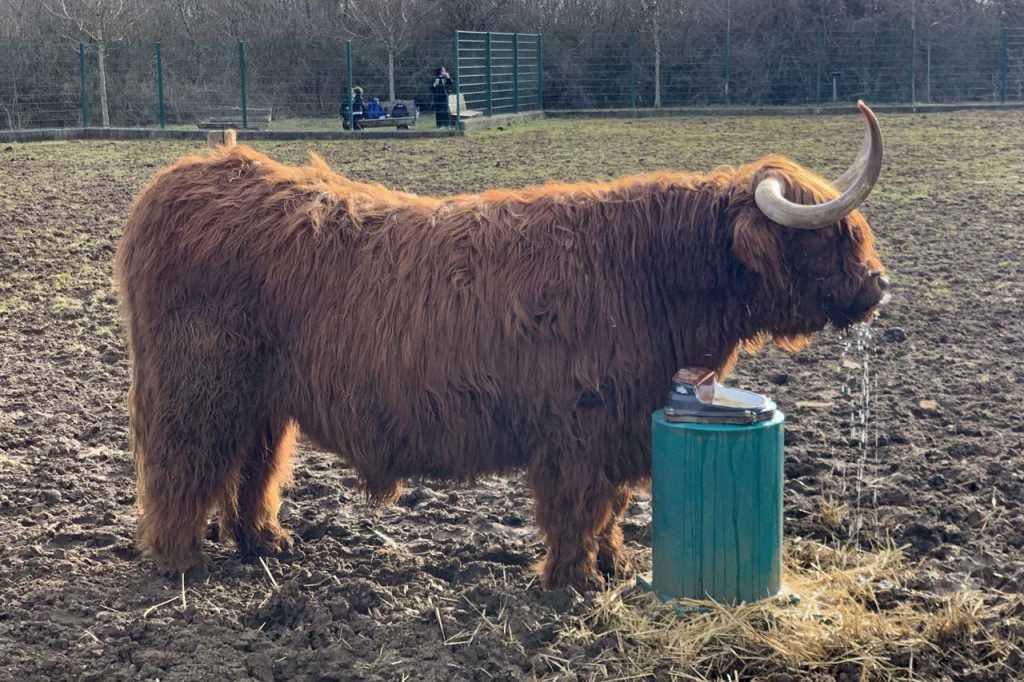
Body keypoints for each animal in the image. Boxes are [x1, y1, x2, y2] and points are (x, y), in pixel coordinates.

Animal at [116, 100, 888, 589]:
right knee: (183, 464)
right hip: (197, 386)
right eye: (825, 236)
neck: (651, 274)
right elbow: (578, 507)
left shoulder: (622, 426)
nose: (879, 286)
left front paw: (612, 568)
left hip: (262, 398)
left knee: (252, 467)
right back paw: (180, 561)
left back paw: (264, 543)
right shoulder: (579, 427)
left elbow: (610, 508)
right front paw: (573, 582)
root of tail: (188, 174)